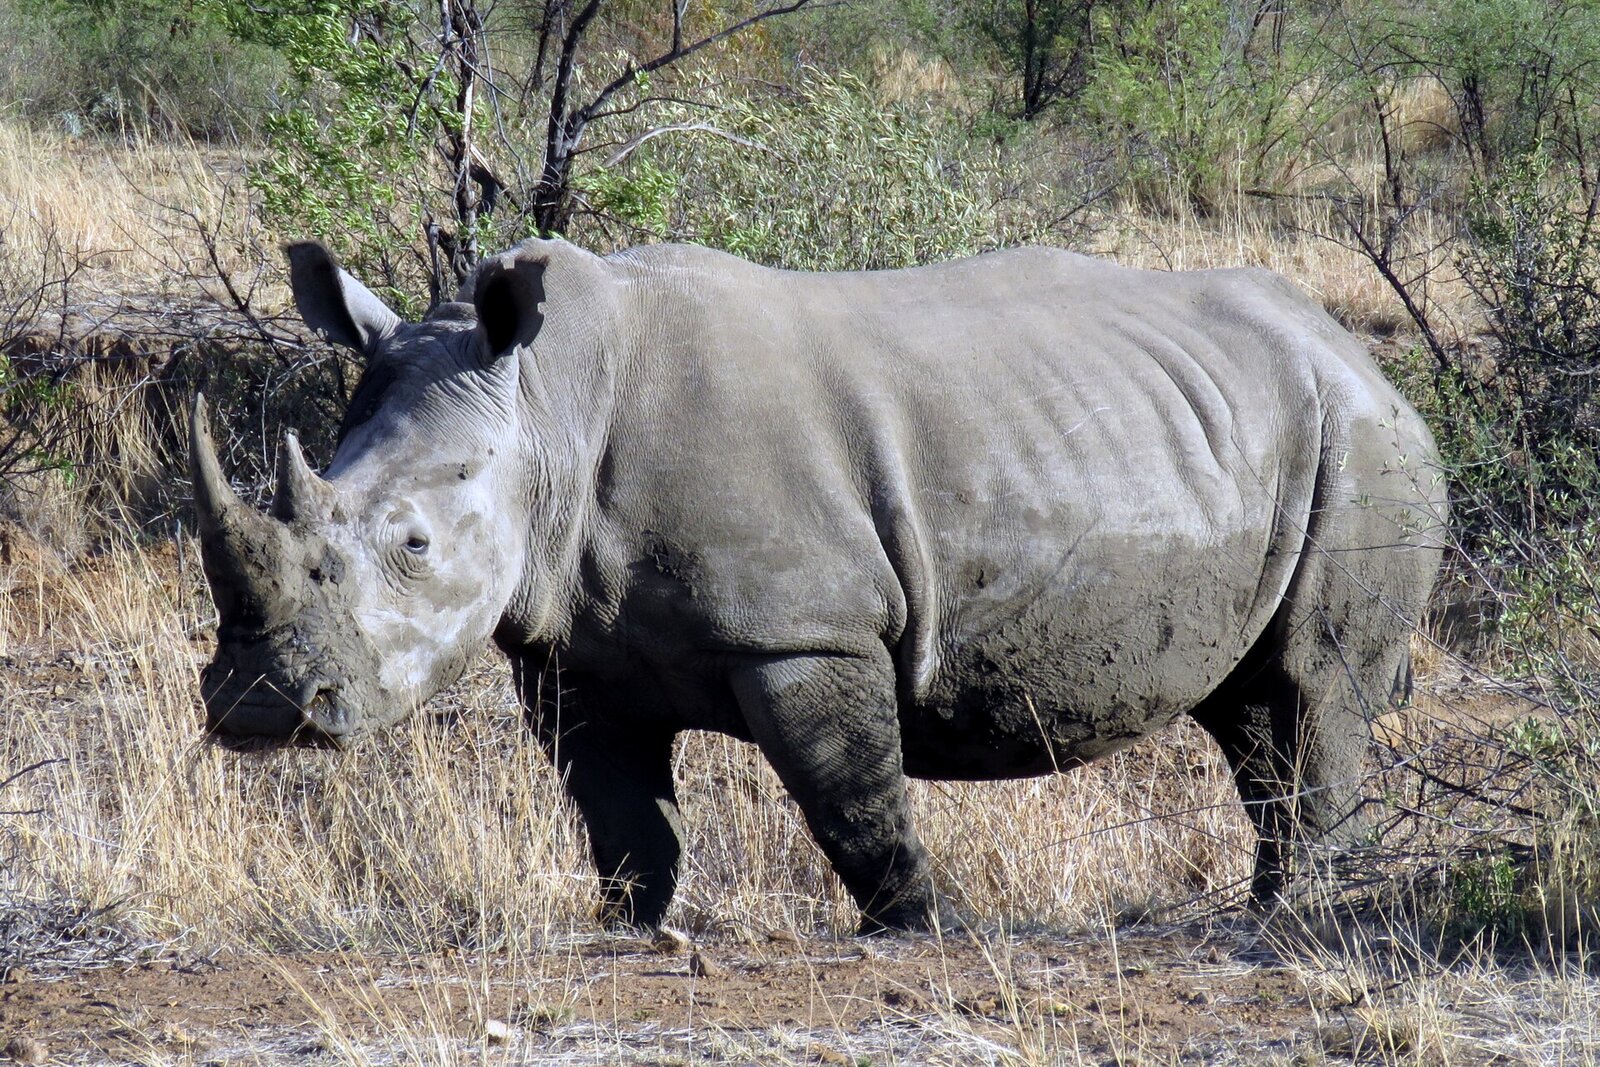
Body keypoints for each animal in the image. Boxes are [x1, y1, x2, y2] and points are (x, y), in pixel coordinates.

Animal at [193, 238, 1445, 932]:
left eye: (410, 544)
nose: (259, 708)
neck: (543, 404)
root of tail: (1359, 352)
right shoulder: (566, 647)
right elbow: (617, 815)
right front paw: (630, 926)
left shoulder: (802, 629)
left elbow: (851, 798)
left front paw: (921, 929)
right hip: (1254, 428)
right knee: (1249, 711)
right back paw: (1277, 907)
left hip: (1362, 440)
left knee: (1313, 685)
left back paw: (1292, 923)